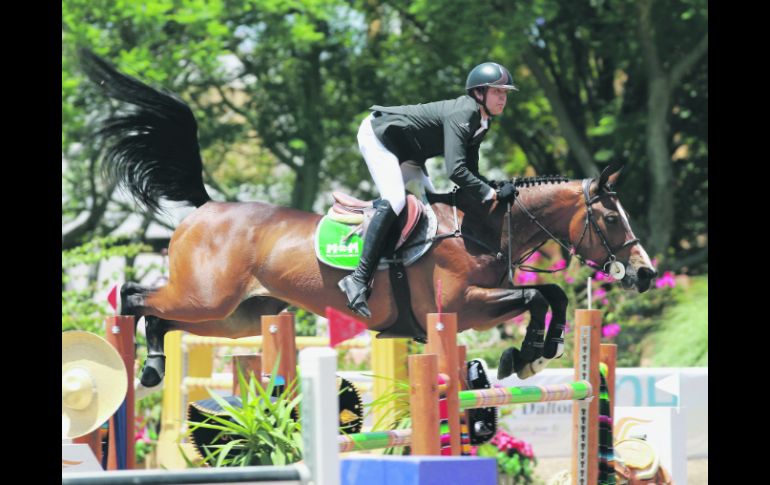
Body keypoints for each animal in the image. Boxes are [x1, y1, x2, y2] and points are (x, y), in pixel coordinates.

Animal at [78, 51, 656, 388]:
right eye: (611, 217)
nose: (646, 273)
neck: (483, 228)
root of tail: (205, 209)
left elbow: (552, 296)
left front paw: (535, 353)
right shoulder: (460, 307)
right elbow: (538, 296)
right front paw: (527, 354)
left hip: (234, 315)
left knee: (163, 318)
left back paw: (153, 364)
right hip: (205, 296)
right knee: (135, 296)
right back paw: (127, 356)